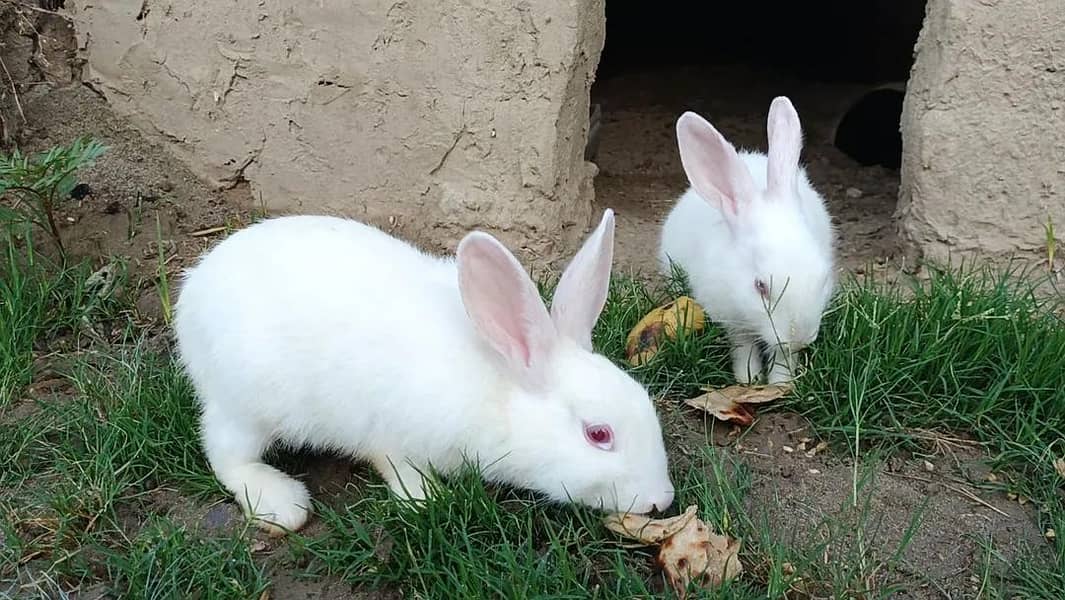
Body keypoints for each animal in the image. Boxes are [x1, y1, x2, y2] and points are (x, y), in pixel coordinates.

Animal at [173, 209, 675, 535]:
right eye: (598, 435)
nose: (662, 500)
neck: (500, 385)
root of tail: (191, 301)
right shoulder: (395, 437)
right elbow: (398, 469)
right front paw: (428, 500)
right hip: (247, 404)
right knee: (225, 453)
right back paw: (281, 503)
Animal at [658, 97, 837, 386]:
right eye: (760, 286)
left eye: (823, 279)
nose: (800, 336)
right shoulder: (731, 319)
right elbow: (744, 349)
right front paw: (749, 380)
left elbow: (783, 356)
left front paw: (781, 383)